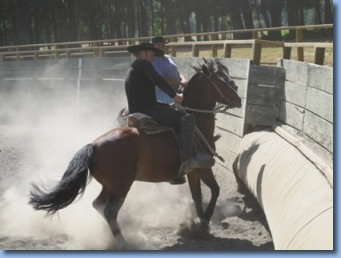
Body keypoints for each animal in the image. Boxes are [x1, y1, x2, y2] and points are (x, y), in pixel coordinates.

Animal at [29, 58, 242, 248]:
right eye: (222, 79)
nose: (238, 100)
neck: (196, 121)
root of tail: (93, 146)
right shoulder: (204, 168)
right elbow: (215, 190)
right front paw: (205, 223)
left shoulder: (193, 172)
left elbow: (197, 196)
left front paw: (198, 226)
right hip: (122, 185)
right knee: (110, 211)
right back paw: (124, 243)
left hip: (110, 185)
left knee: (98, 205)